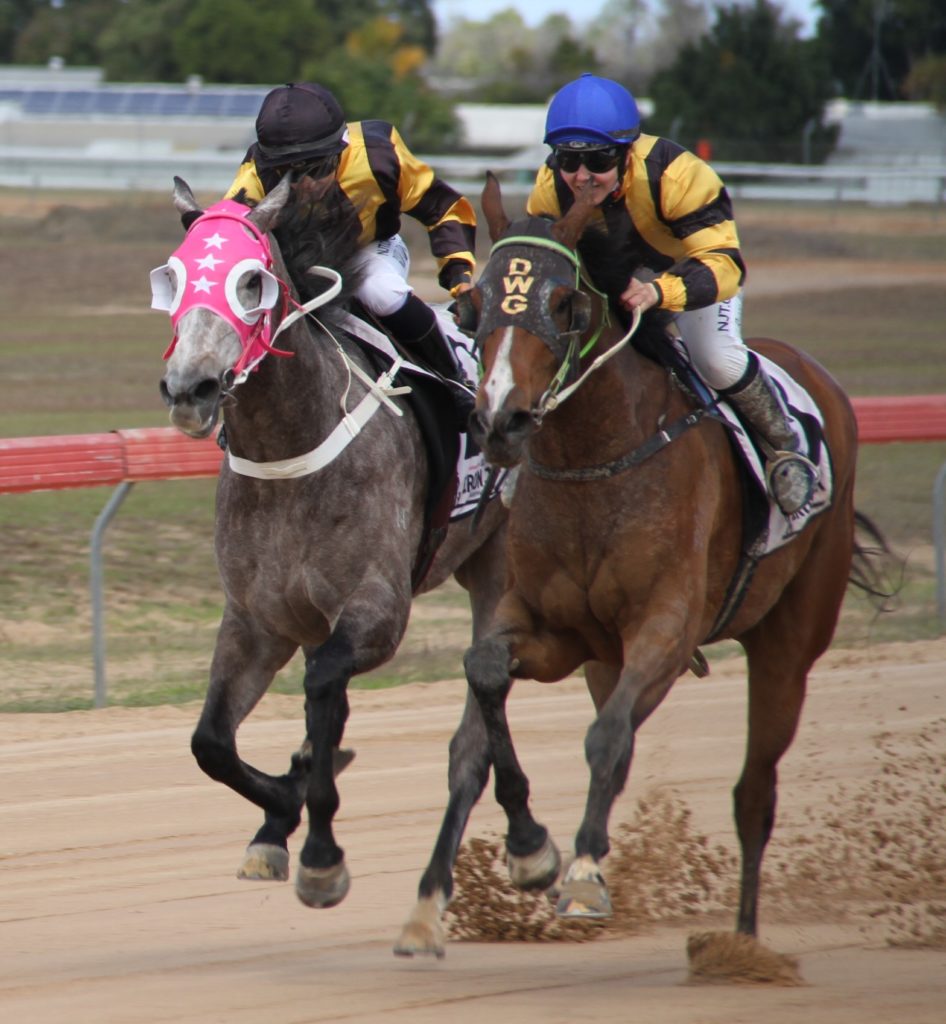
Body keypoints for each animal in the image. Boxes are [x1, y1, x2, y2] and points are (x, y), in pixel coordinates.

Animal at [158, 178, 505, 913]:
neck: (290, 453)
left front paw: (317, 847)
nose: (189, 389)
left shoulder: (377, 610)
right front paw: (279, 815)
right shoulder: (259, 618)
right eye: (171, 278)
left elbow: (322, 690)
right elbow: (211, 743)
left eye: (251, 281)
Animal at [393, 174, 888, 958]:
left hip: (791, 636)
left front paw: (583, 877)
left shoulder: (667, 626)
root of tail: (821, 381)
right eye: (475, 306)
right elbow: (486, 674)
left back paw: (742, 945)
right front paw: (530, 852)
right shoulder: (553, 630)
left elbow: (607, 740)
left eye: (564, 302)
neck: (596, 461)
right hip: (608, 657)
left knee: (754, 790)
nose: (501, 422)